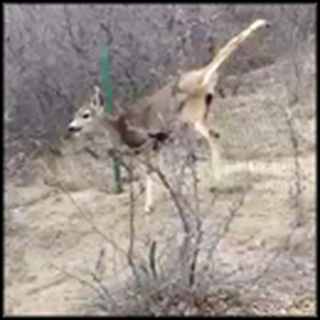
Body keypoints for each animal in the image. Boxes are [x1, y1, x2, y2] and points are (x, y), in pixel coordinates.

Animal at [67, 19, 270, 215]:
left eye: (85, 115)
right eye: (75, 113)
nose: (71, 127)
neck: (122, 127)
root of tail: (202, 76)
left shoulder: (147, 142)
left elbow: (150, 170)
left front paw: (148, 206)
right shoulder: (160, 142)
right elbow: (160, 169)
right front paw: (169, 192)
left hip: (191, 115)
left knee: (214, 136)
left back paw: (216, 185)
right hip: (201, 113)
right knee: (214, 135)